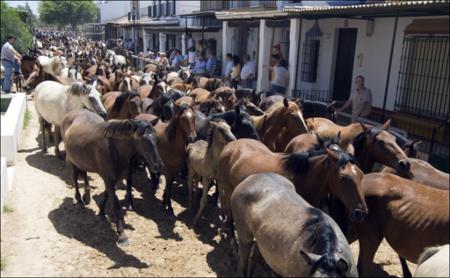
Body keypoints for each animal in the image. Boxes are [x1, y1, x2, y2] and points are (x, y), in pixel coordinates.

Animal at [60, 108, 163, 243]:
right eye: (143, 140)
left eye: (156, 138)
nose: (158, 166)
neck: (114, 149)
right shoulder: (108, 179)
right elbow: (116, 206)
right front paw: (122, 235)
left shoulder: (113, 178)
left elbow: (106, 195)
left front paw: (101, 212)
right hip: (72, 161)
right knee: (75, 180)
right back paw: (79, 201)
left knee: (84, 175)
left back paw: (86, 197)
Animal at [216, 139, 368, 241]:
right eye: (343, 177)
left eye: (361, 174)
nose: (360, 213)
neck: (303, 176)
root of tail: (231, 145)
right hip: (228, 189)